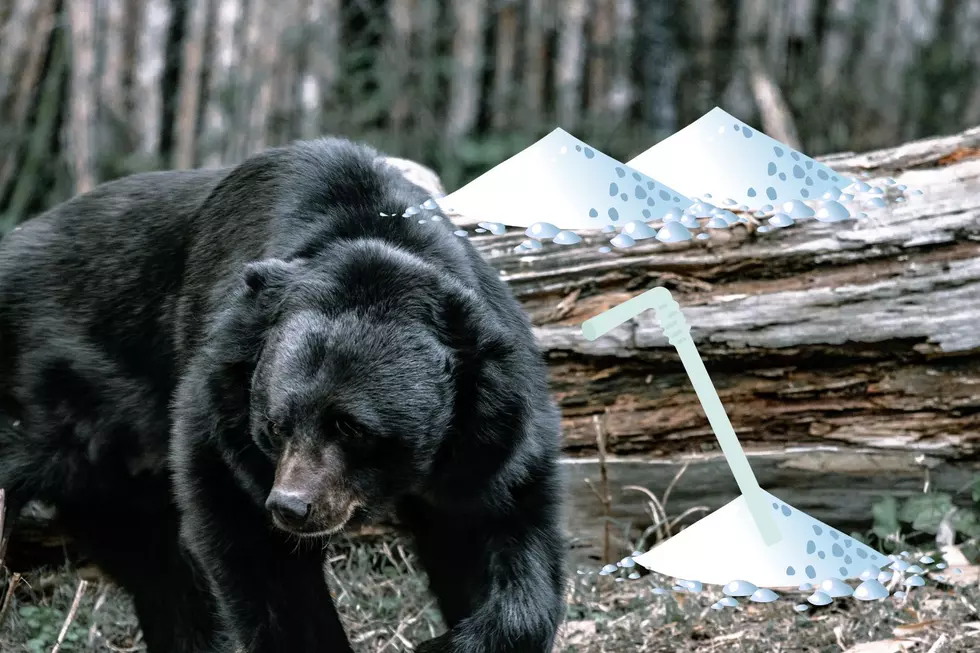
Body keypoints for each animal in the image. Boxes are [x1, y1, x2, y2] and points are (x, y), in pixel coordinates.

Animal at [0, 139, 568, 652]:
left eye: (352, 427)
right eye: (275, 426)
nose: (292, 507)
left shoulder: (490, 433)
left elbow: (500, 530)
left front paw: (451, 641)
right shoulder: (221, 408)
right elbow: (258, 558)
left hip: (108, 476)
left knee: (155, 564)